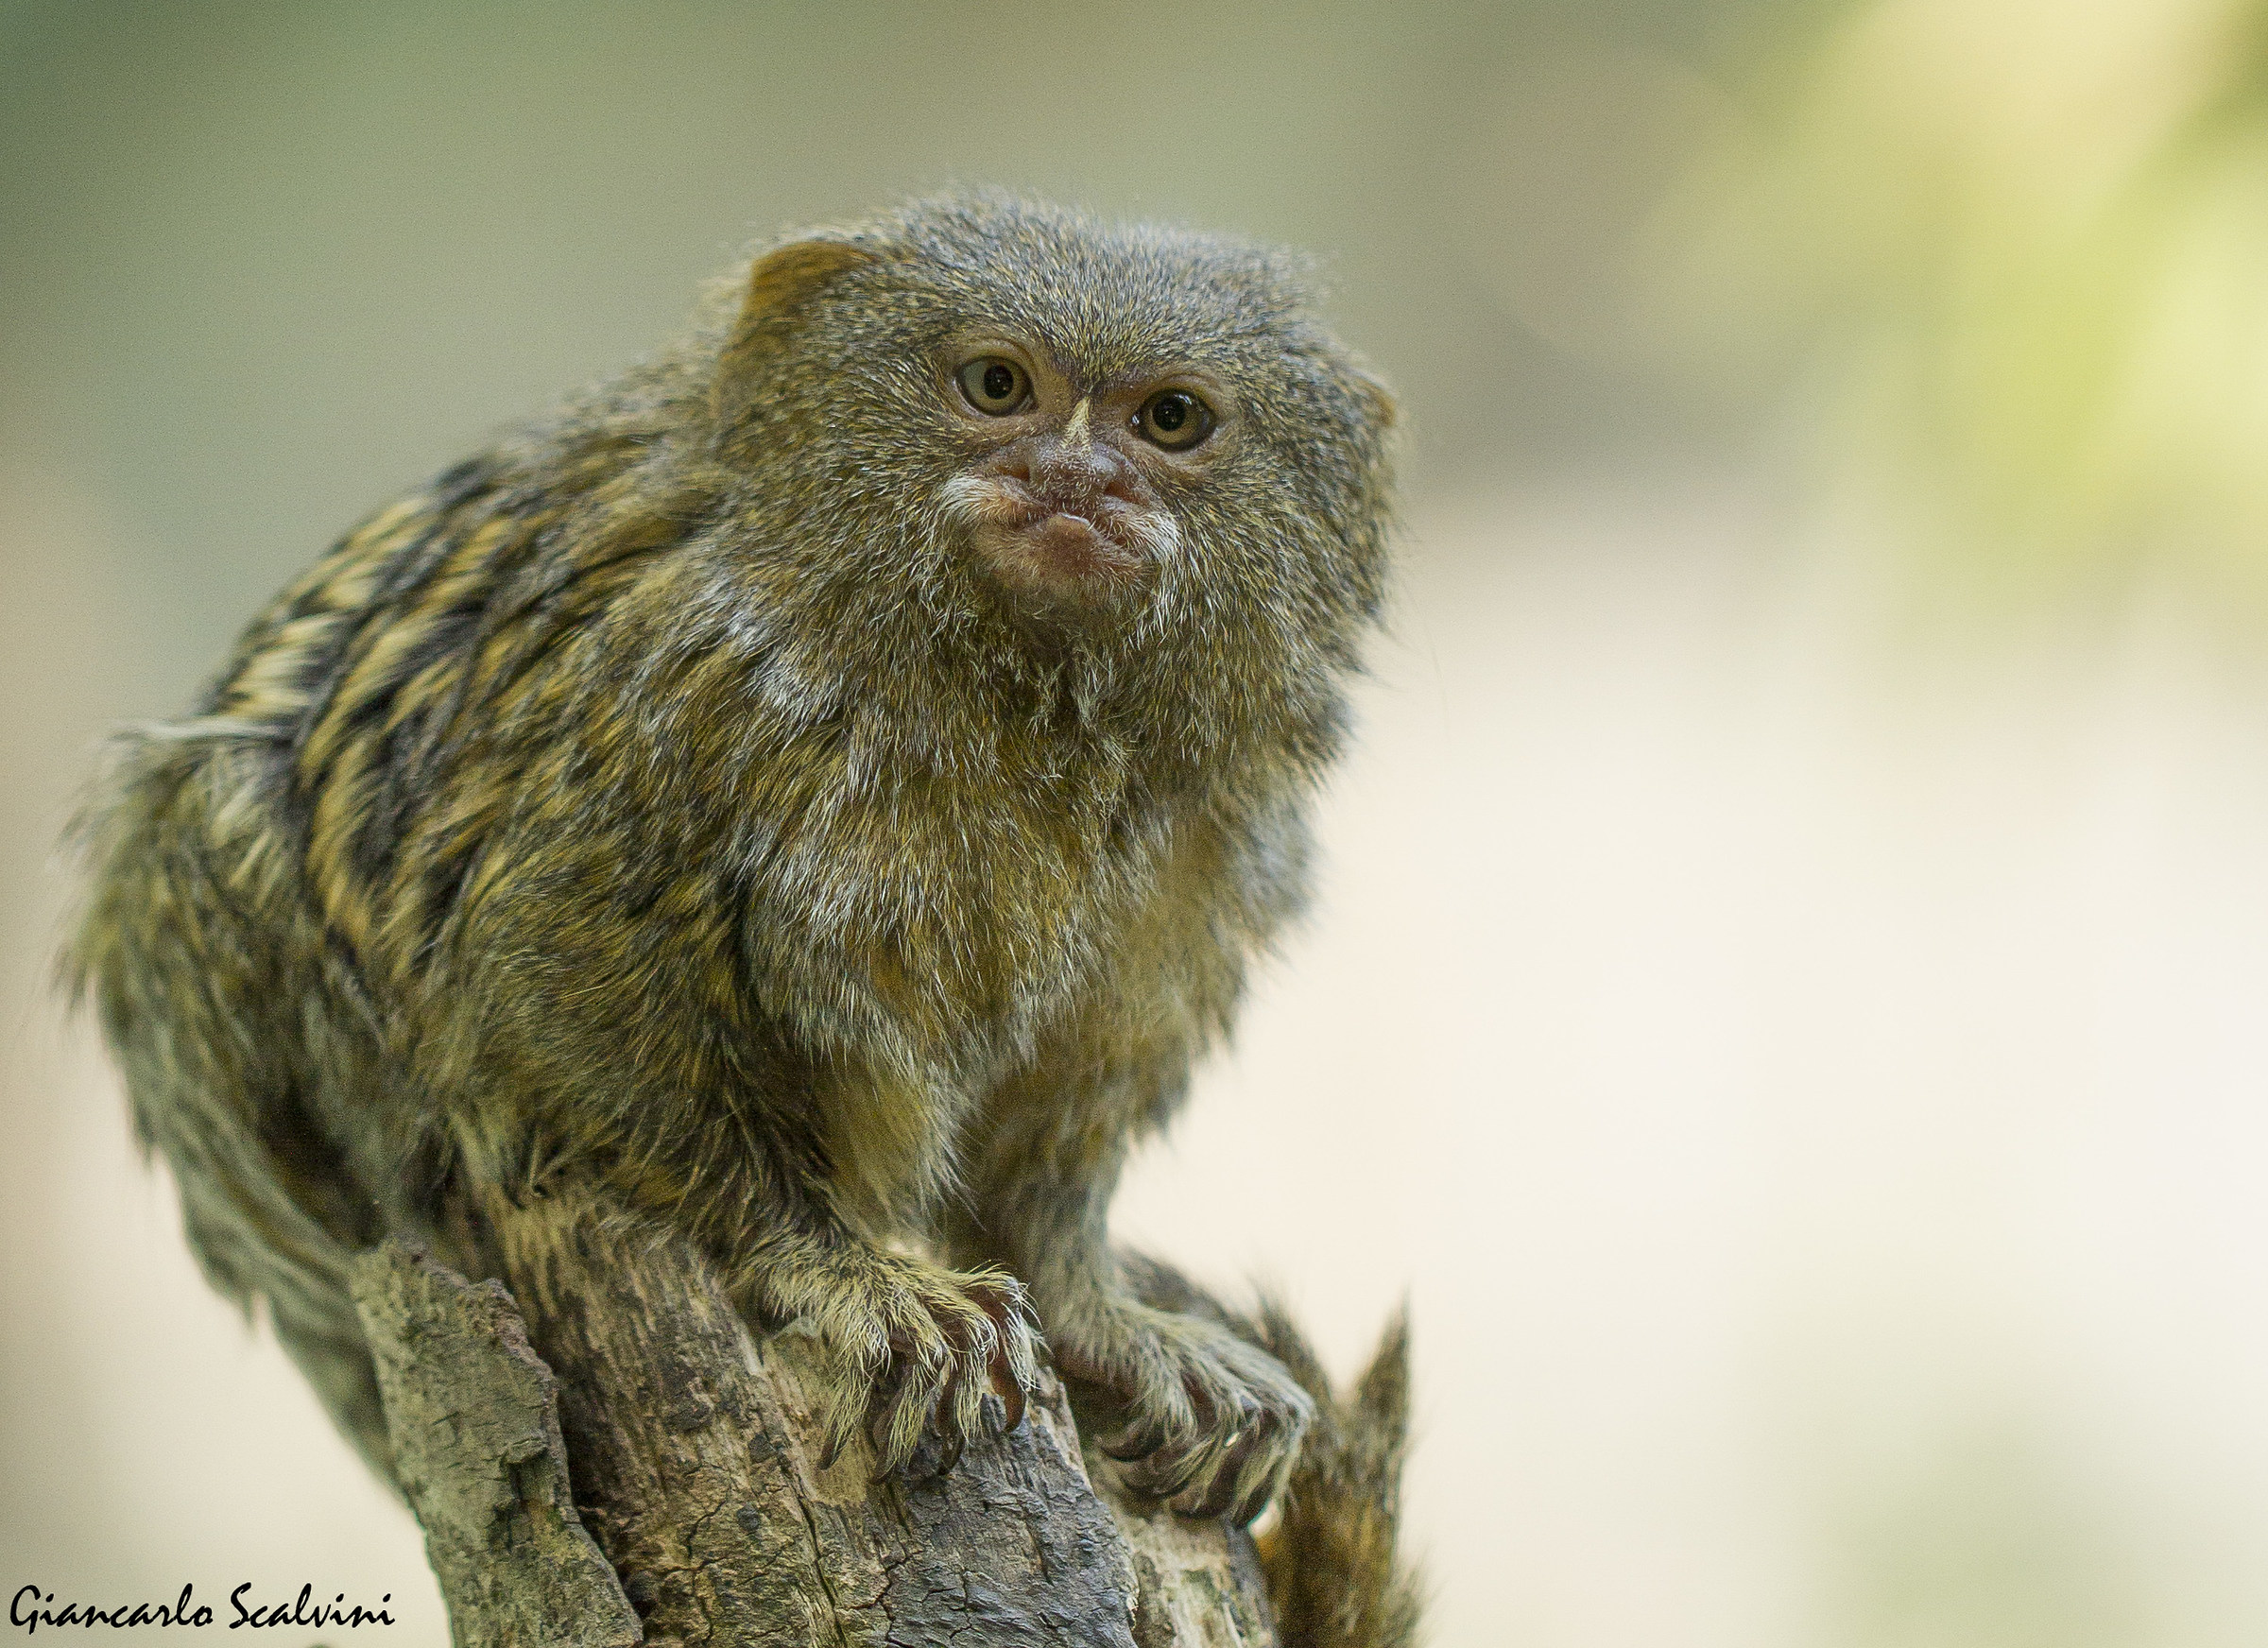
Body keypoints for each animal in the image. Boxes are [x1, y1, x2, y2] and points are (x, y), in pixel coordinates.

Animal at [65, 190, 1398, 1533]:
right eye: (996, 384)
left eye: (1170, 419)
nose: (1076, 478)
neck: (1019, 700)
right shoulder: (670, 700)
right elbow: (552, 972)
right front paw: (844, 1272)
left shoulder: (1200, 862)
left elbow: (1050, 1144)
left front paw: (1103, 1315)